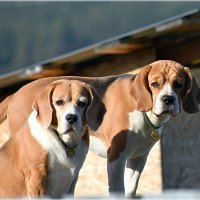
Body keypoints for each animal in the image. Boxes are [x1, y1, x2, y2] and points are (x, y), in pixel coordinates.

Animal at [0, 59, 200, 197]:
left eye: (178, 84)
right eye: (155, 84)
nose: (168, 99)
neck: (144, 112)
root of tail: (14, 95)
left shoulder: (138, 159)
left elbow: (131, 189)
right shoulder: (116, 157)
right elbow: (118, 189)